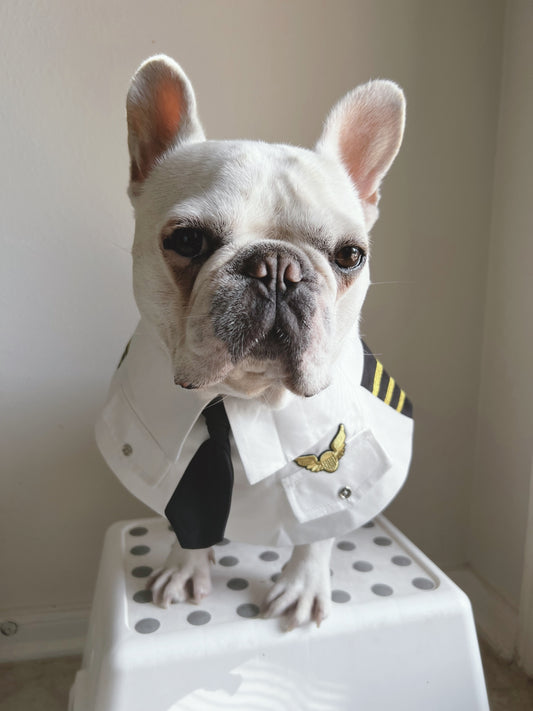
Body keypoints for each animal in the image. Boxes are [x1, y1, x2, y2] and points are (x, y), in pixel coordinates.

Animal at [95, 58, 412, 632]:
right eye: (187, 240)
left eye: (349, 255)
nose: (277, 268)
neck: (242, 400)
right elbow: (183, 511)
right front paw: (186, 566)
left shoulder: (349, 472)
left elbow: (325, 518)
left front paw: (302, 583)